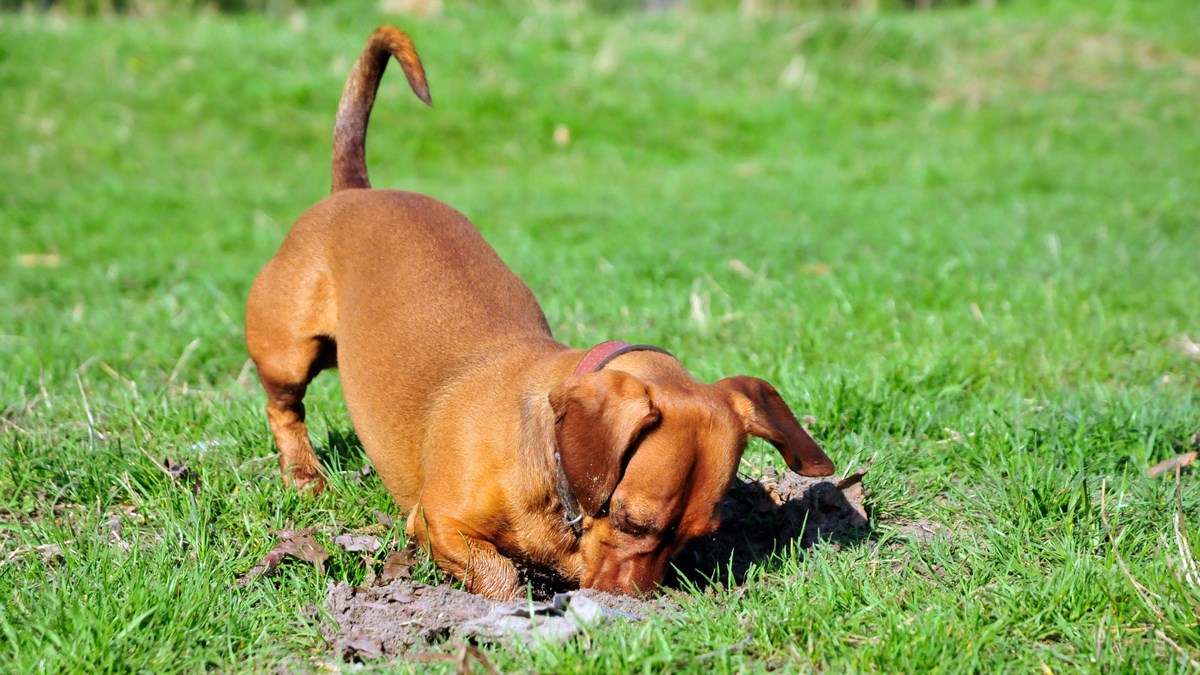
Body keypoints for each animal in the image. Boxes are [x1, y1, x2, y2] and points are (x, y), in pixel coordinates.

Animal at [246, 24, 835, 598]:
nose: (628, 605)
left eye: (694, 537)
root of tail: (354, 191)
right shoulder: (438, 521)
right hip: (288, 351)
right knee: (283, 408)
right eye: (630, 521)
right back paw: (303, 475)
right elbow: (500, 575)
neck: (552, 463)